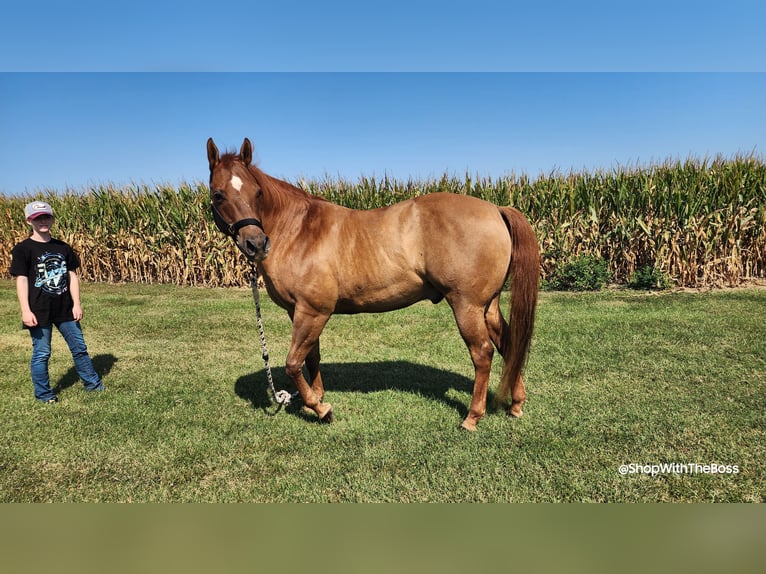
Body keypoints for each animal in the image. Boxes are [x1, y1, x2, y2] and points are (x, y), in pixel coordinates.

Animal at [206, 137, 540, 430]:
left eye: (257, 192)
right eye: (218, 194)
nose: (256, 243)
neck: (298, 229)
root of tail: (495, 210)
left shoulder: (312, 312)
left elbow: (292, 362)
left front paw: (322, 409)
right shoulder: (301, 312)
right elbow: (311, 357)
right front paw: (316, 398)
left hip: (467, 305)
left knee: (482, 353)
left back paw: (472, 417)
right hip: (488, 305)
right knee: (509, 344)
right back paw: (516, 404)